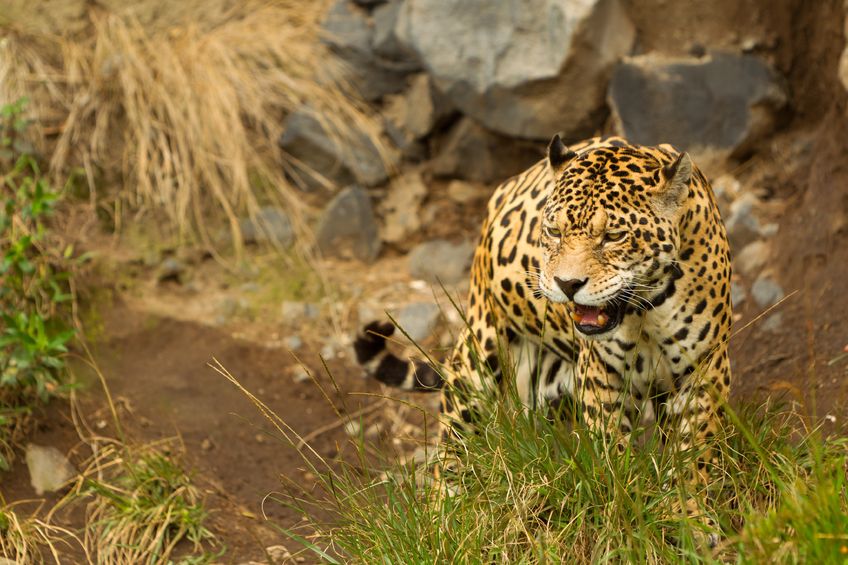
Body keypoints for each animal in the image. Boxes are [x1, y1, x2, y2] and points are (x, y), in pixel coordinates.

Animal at [355, 135, 732, 546]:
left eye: (613, 237)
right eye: (554, 232)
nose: (568, 284)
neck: (643, 311)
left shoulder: (704, 370)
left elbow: (695, 452)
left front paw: (691, 516)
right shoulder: (601, 376)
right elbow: (613, 451)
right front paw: (626, 511)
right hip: (477, 362)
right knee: (452, 448)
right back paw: (443, 523)